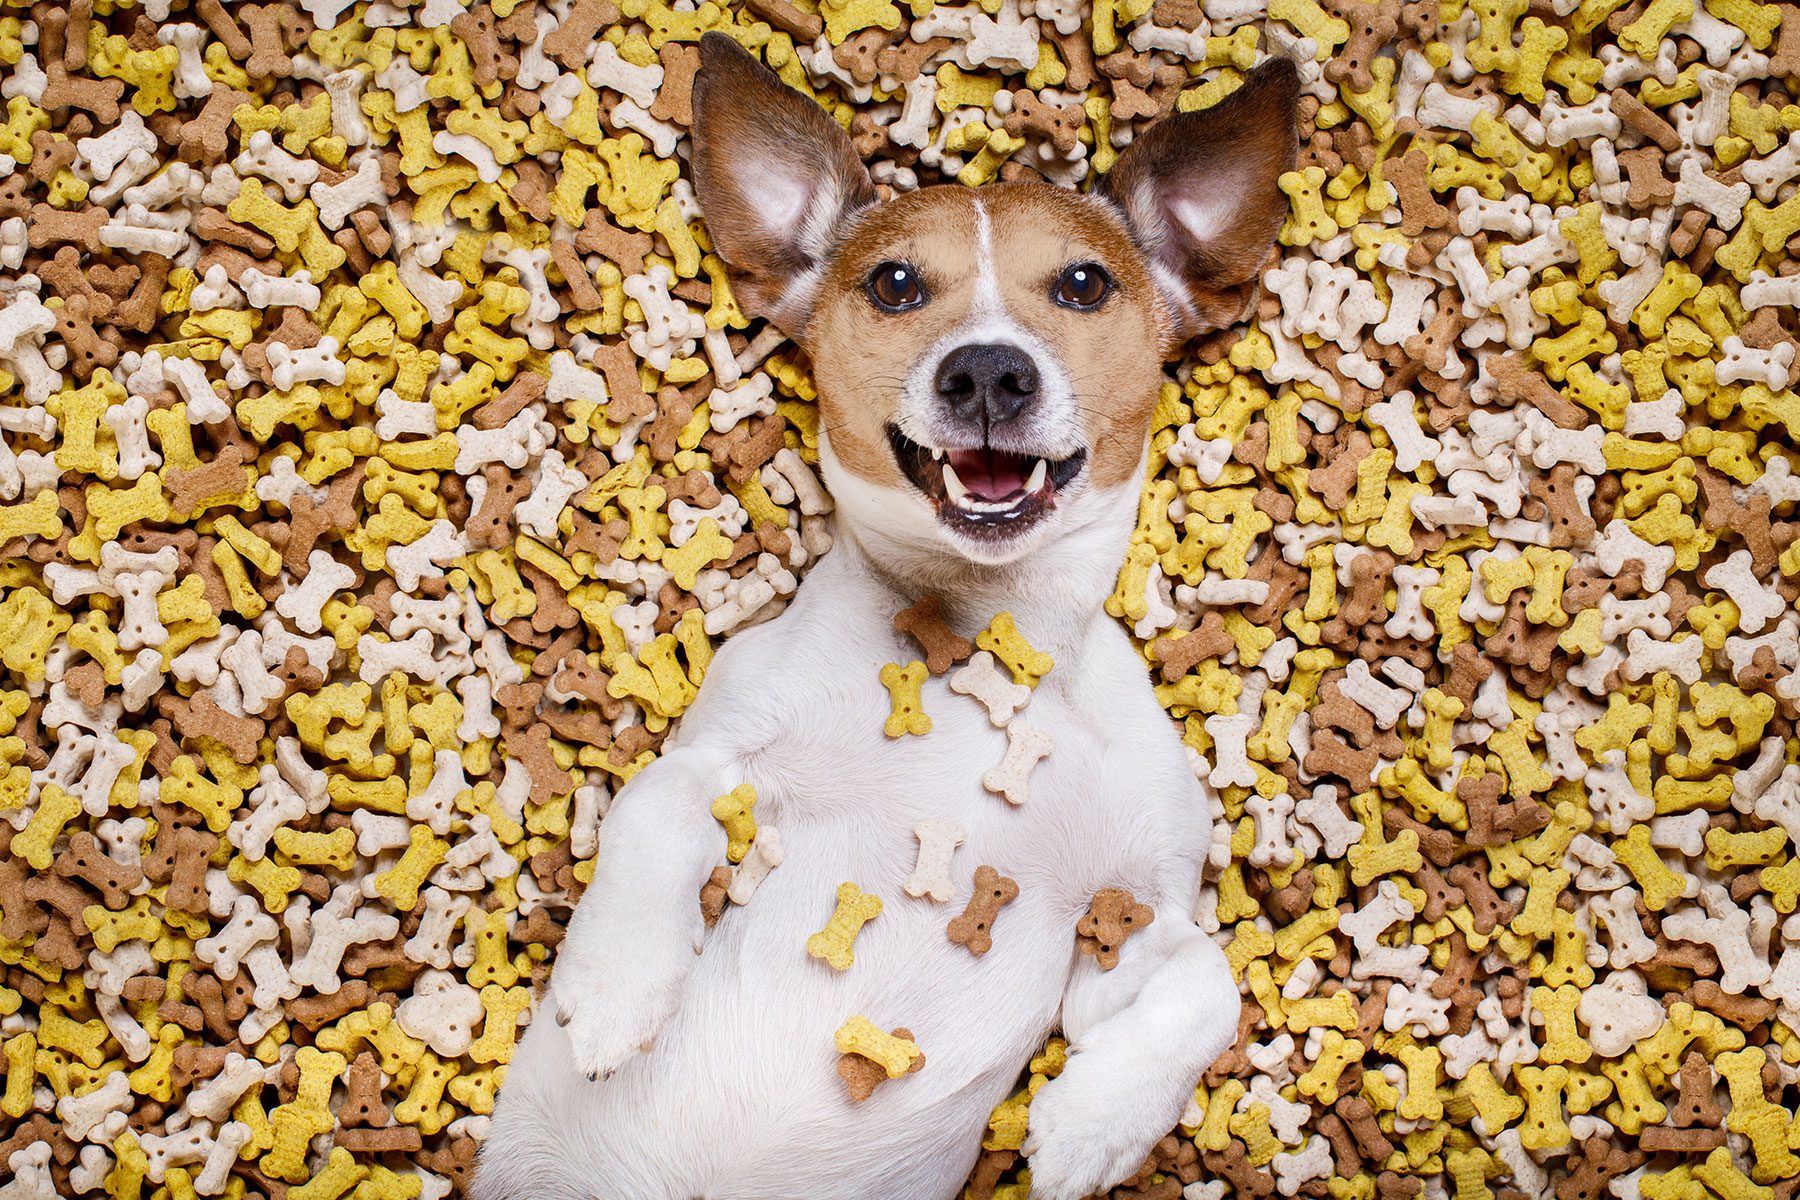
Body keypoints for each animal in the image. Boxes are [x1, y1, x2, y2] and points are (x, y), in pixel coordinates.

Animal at [475, 32, 1296, 1194]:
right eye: (896, 284)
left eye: (1084, 283)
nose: (989, 370)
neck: (983, 637)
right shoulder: (719, 748)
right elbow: (652, 803)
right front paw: (615, 990)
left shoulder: (1129, 917)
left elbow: (1209, 980)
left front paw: (1093, 1124)